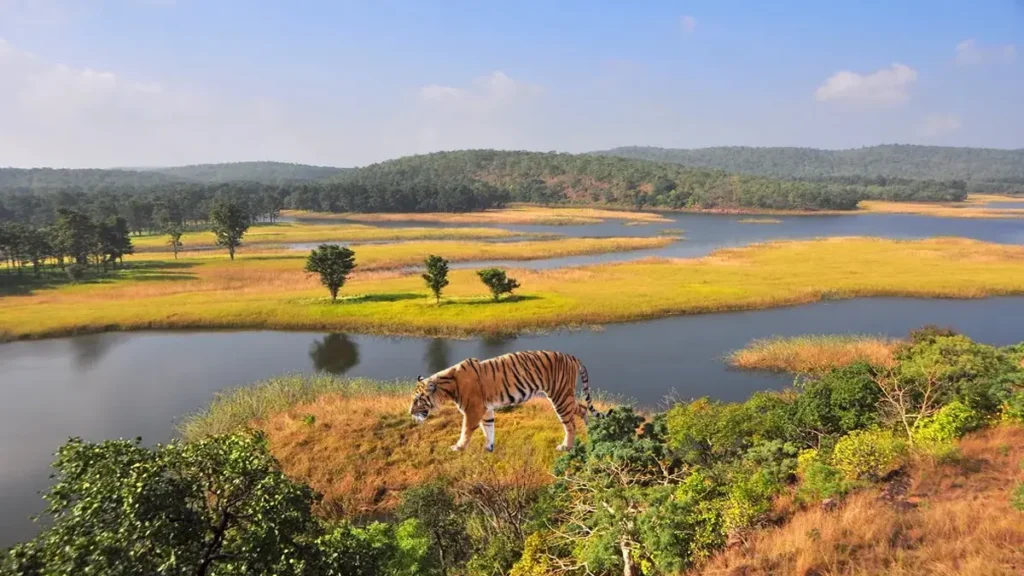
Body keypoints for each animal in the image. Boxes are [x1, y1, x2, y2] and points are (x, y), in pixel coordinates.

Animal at [407, 348, 598, 450]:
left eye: (417, 400)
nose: (410, 412)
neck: (448, 387)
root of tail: (572, 356)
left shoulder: (473, 410)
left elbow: (466, 430)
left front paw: (458, 447)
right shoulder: (486, 409)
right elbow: (488, 428)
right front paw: (489, 448)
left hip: (560, 397)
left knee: (570, 424)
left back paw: (566, 446)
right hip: (564, 396)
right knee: (582, 408)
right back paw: (590, 429)